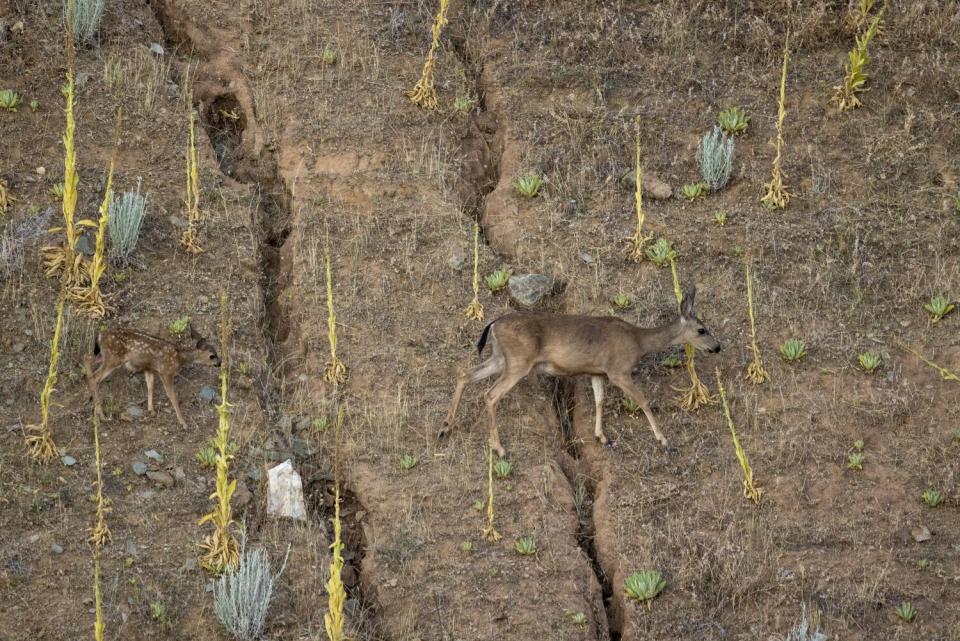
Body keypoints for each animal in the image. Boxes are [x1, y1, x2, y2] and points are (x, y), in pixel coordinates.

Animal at [82, 328, 221, 428]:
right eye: (212, 355)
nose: (220, 363)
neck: (179, 358)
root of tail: (100, 334)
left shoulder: (149, 368)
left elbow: (150, 386)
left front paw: (151, 411)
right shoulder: (166, 372)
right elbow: (172, 396)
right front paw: (183, 422)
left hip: (104, 355)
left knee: (87, 357)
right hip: (114, 357)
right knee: (95, 378)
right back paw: (102, 415)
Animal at [442, 284, 720, 456]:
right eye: (701, 329)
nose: (717, 347)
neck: (638, 341)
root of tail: (493, 324)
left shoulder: (597, 372)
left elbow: (599, 400)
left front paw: (602, 437)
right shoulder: (618, 371)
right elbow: (643, 401)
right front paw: (664, 441)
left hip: (501, 358)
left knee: (465, 374)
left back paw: (444, 428)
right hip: (519, 361)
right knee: (490, 394)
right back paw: (498, 448)